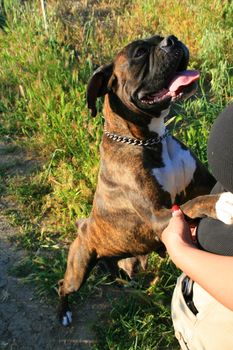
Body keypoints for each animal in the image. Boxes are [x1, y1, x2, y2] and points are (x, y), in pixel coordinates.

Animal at [58, 34, 233, 326]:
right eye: (139, 52)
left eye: (160, 37)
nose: (171, 40)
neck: (151, 139)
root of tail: (84, 225)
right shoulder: (159, 216)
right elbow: (196, 202)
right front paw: (222, 204)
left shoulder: (201, 183)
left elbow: (200, 193)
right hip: (78, 271)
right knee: (63, 285)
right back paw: (64, 313)